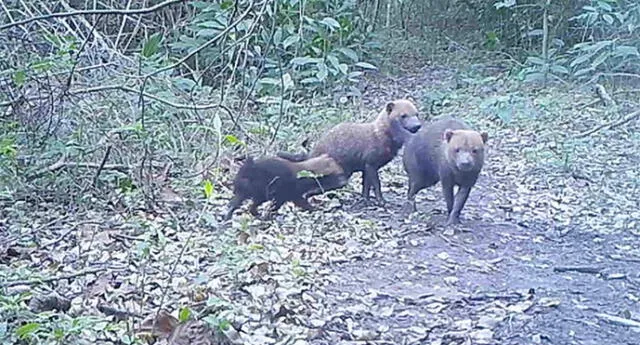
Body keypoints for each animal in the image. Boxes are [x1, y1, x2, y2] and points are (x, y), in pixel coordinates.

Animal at [278, 98, 422, 203]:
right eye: (403, 115)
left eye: (416, 113)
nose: (417, 125)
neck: (381, 137)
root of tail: (312, 153)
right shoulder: (371, 162)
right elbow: (376, 184)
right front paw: (381, 201)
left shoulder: (365, 166)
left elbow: (366, 185)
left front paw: (365, 199)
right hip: (338, 171)